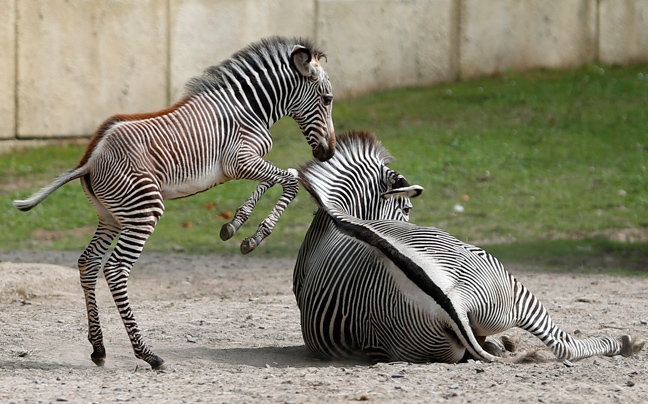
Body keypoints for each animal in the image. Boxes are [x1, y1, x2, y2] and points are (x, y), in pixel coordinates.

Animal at [13, 37, 336, 370]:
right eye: (327, 99)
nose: (328, 153)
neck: (250, 108)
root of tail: (90, 159)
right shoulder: (239, 161)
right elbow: (290, 180)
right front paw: (255, 236)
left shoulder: (246, 162)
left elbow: (283, 177)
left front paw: (234, 226)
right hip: (143, 211)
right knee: (115, 269)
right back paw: (147, 354)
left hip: (111, 217)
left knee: (88, 262)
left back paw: (99, 348)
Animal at [294, 131, 644, 364]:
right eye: (407, 209)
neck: (336, 215)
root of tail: (455, 303)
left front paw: (502, 345)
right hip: (511, 286)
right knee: (564, 346)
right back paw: (623, 343)